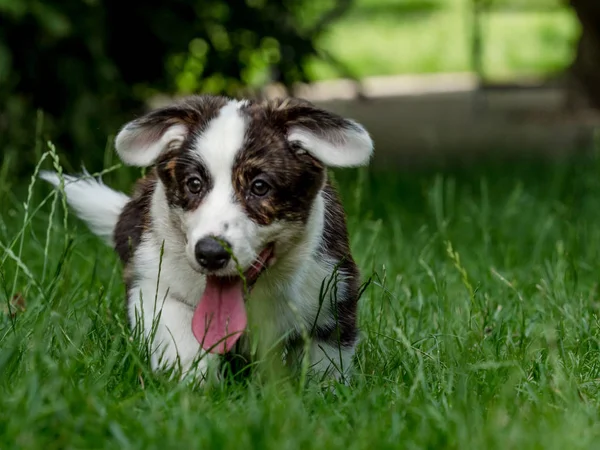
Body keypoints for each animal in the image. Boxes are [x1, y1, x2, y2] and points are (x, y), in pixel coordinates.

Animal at [41, 96, 370, 384]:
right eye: (194, 184)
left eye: (260, 187)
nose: (210, 253)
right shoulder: (154, 284)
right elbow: (183, 340)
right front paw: (195, 386)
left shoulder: (331, 295)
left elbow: (323, 367)